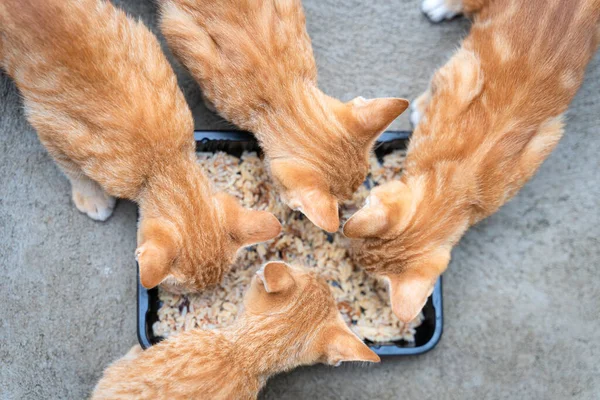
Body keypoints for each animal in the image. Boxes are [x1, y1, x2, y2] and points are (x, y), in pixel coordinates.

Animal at [342, 0, 600, 322]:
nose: (346, 248)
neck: (459, 175)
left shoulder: (543, 141)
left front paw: (420, 110)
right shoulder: (461, 70)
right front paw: (421, 109)